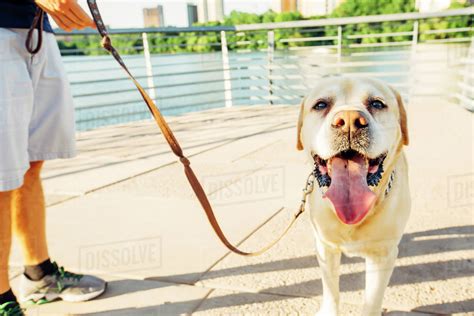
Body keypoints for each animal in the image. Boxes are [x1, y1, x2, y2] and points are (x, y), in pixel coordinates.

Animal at [296, 76, 412, 316]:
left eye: (377, 103)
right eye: (321, 105)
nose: (349, 120)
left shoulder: (382, 256)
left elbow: (372, 300)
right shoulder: (325, 247)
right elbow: (331, 290)